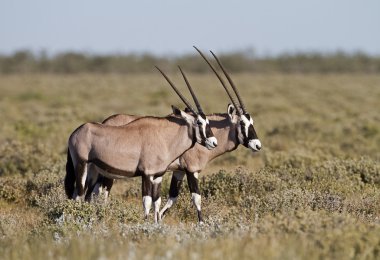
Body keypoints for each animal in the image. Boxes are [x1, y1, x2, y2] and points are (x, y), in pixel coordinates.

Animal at [64, 66, 217, 222]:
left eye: (208, 121)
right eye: (199, 122)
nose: (214, 142)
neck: (164, 137)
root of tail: (75, 132)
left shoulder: (157, 175)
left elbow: (157, 202)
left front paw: (156, 224)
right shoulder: (147, 174)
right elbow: (147, 202)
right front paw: (145, 223)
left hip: (93, 170)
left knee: (86, 196)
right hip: (81, 165)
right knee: (79, 195)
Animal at [87, 47, 262, 223]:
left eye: (252, 121)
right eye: (242, 123)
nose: (257, 145)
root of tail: (105, 122)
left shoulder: (179, 171)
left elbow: (172, 197)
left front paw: (159, 219)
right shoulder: (192, 169)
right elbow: (196, 198)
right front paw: (201, 223)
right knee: (102, 192)